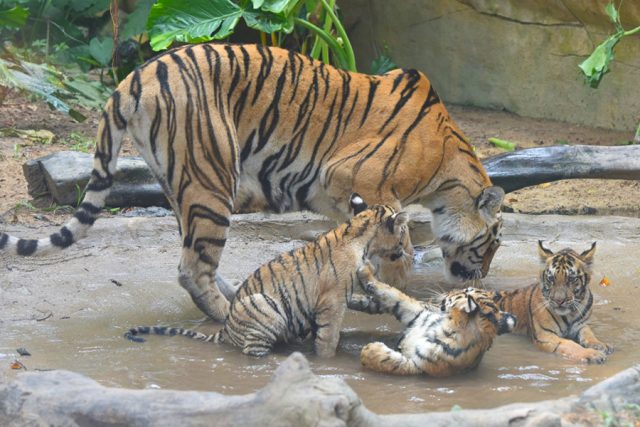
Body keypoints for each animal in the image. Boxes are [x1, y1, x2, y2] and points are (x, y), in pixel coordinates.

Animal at [0, 45, 504, 322]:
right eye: (492, 243)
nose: (481, 275)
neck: (446, 175)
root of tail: (134, 77)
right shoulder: (359, 179)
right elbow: (396, 246)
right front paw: (398, 289)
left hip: (182, 185)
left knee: (192, 254)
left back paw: (238, 294)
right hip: (212, 178)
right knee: (193, 267)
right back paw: (230, 316)